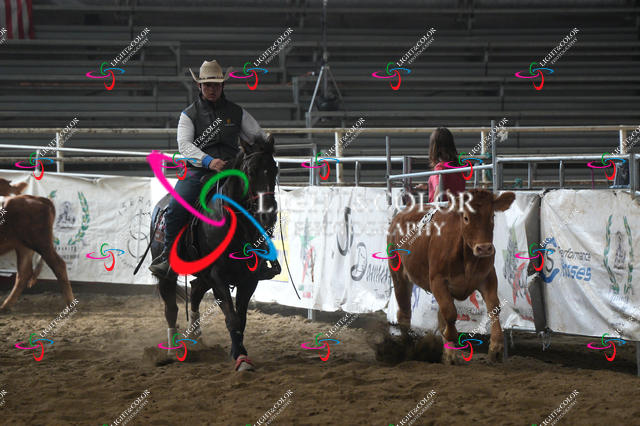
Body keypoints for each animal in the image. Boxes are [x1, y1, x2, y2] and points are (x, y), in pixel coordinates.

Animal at [0, 178, 74, 310]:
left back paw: (70, 304)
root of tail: (39, 199)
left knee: (58, 265)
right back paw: (5, 306)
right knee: (23, 273)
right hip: (23, 246)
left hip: (40, 243)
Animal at [149, 135, 278, 371]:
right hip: (167, 273)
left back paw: (195, 334)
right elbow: (232, 318)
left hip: (203, 273)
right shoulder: (218, 276)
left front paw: (238, 351)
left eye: (274, 169)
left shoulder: (249, 279)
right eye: (251, 170)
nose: (268, 215)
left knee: (195, 290)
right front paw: (241, 358)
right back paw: (173, 350)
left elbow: (241, 319)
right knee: (171, 308)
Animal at [388, 189, 515, 364]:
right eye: (466, 217)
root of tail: (399, 216)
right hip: (399, 275)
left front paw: (496, 347)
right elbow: (450, 312)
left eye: (491, 216)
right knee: (404, 314)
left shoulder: (488, 277)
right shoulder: (437, 281)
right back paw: (409, 351)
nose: (484, 248)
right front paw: (450, 338)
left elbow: (494, 307)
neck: (467, 256)